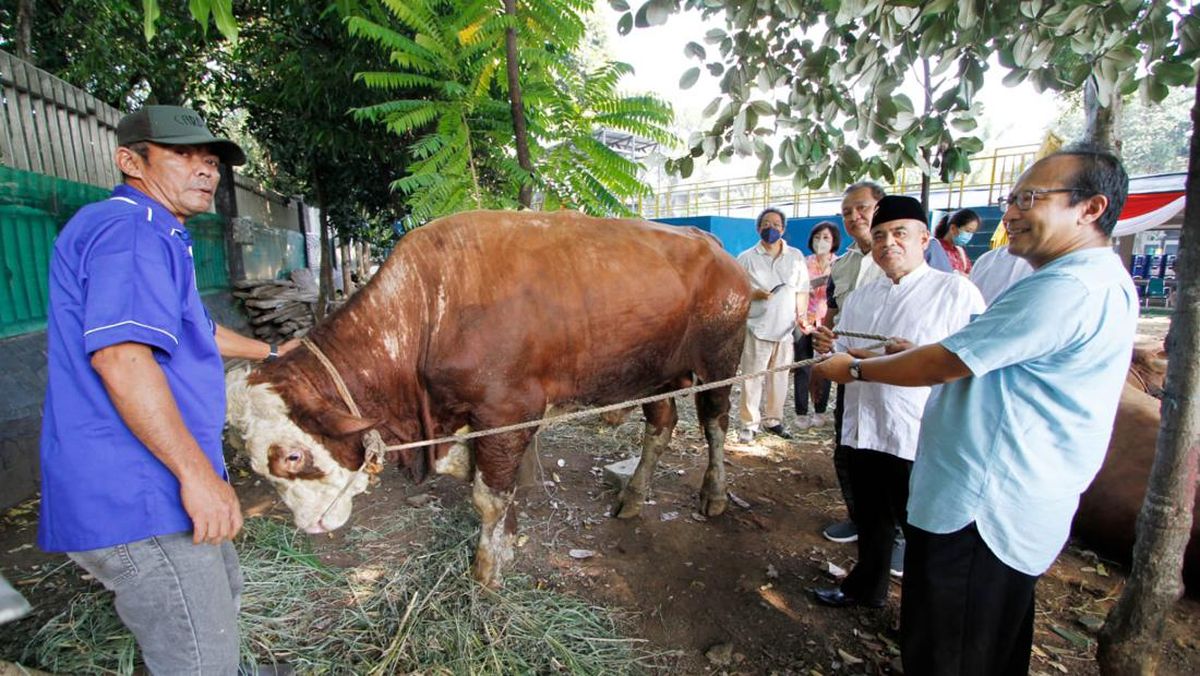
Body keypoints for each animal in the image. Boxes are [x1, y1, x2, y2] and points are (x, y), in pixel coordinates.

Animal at [225, 211, 748, 588]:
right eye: (253, 462)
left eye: (293, 456)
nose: (310, 525)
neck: (427, 309)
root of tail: (709, 241)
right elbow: (498, 487)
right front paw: (509, 545)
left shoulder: (506, 413)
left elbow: (489, 495)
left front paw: (487, 569)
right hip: (656, 373)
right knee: (661, 425)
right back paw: (634, 497)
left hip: (720, 360)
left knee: (714, 423)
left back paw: (714, 494)